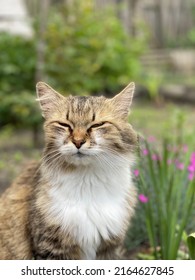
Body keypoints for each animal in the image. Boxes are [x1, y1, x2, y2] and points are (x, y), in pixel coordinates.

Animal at [0, 82, 137, 260]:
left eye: (97, 125)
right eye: (64, 125)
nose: (78, 142)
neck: (87, 180)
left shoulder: (109, 247)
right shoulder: (51, 247)